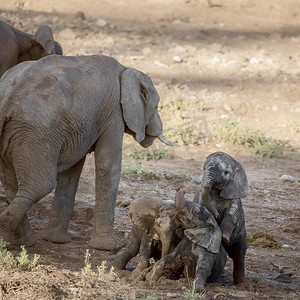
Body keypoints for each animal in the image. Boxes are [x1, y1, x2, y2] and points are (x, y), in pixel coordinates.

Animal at [0, 54, 175, 251]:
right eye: (156, 106)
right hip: (36, 133)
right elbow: (108, 164)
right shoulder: (114, 113)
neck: (126, 69)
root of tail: (7, 99)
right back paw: (9, 238)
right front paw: (109, 248)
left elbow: (72, 172)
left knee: (11, 184)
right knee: (40, 185)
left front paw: (57, 241)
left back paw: (20, 242)